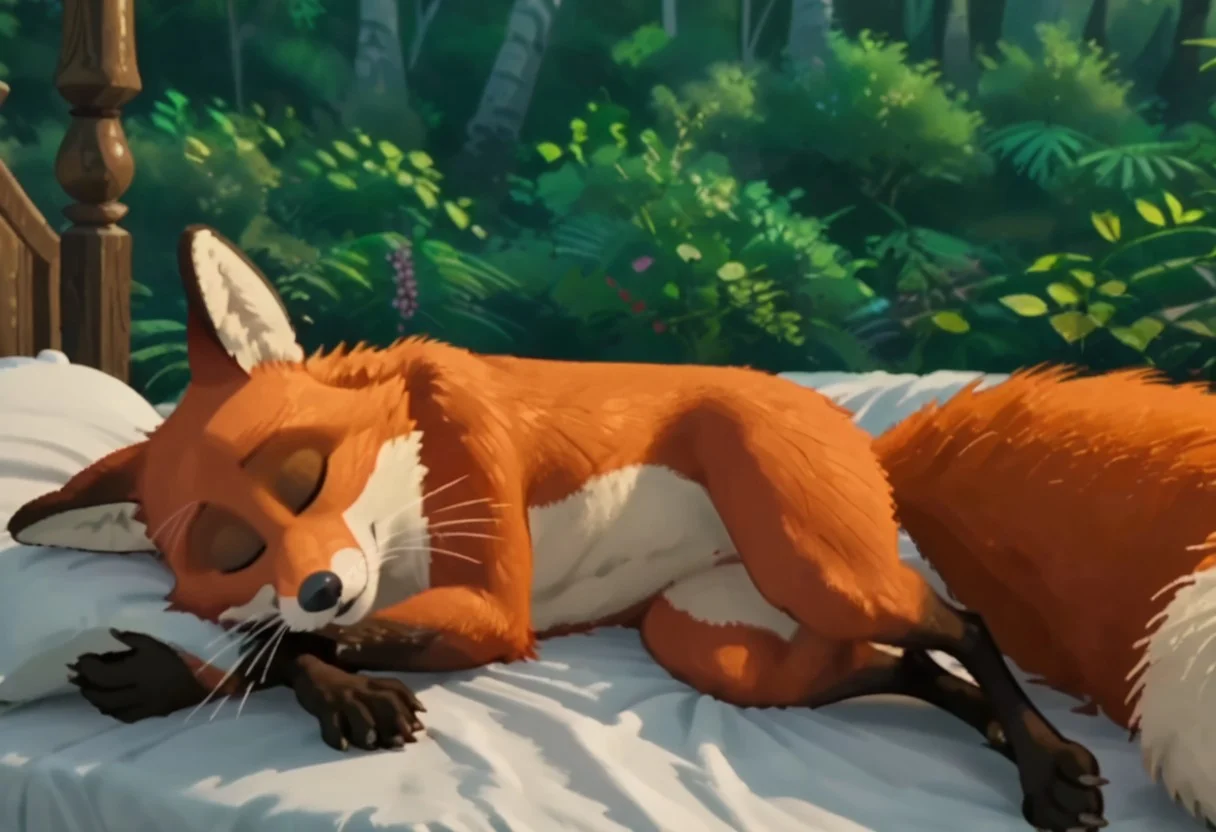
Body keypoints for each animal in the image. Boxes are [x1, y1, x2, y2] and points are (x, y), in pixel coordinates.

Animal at [4, 225, 1106, 831]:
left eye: (302, 477)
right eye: (233, 550)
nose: (319, 584)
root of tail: (848, 424)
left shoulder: (496, 604)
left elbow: (299, 650)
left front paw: (319, 682)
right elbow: (278, 646)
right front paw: (183, 673)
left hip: (817, 570)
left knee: (963, 622)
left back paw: (1048, 768)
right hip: (724, 650)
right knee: (908, 663)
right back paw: (1001, 734)